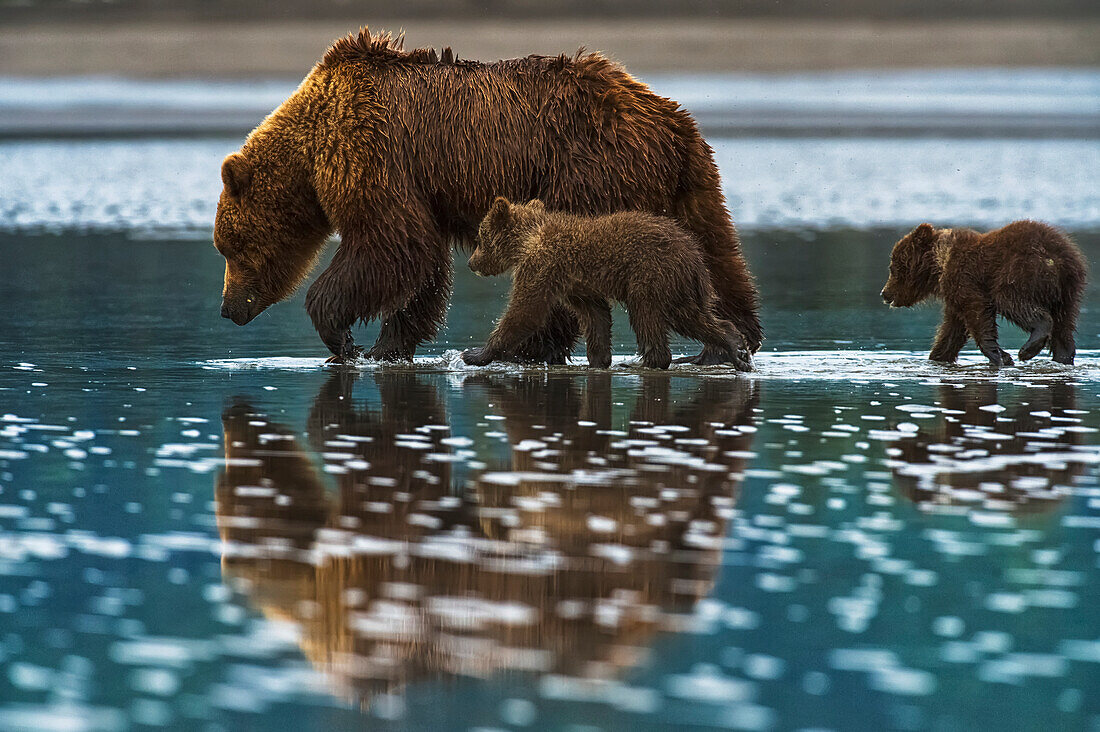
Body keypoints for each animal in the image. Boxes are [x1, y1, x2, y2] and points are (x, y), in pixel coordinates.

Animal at [214, 29, 765, 363]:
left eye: (229, 247)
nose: (227, 308)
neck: (311, 154)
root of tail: (670, 117)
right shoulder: (420, 186)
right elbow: (424, 264)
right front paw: (390, 344)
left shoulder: (371, 152)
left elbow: (390, 244)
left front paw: (342, 337)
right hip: (682, 181)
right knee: (716, 247)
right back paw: (731, 339)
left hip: (588, 165)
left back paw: (532, 346)